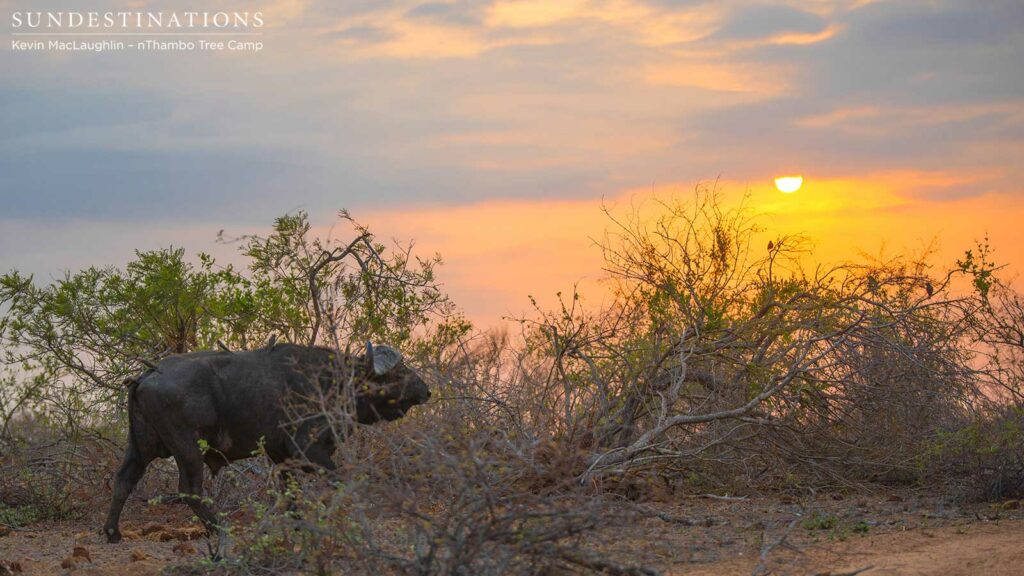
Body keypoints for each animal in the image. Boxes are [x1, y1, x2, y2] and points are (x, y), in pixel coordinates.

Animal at [102, 341, 430, 550]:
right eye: (400, 372)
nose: (426, 389)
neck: (329, 381)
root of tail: (148, 373)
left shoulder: (281, 457)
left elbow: (291, 494)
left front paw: (299, 526)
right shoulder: (308, 450)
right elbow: (341, 481)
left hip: (141, 447)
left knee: (124, 480)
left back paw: (113, 532)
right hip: (188, 450)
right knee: (189, 490)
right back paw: (219, 530)